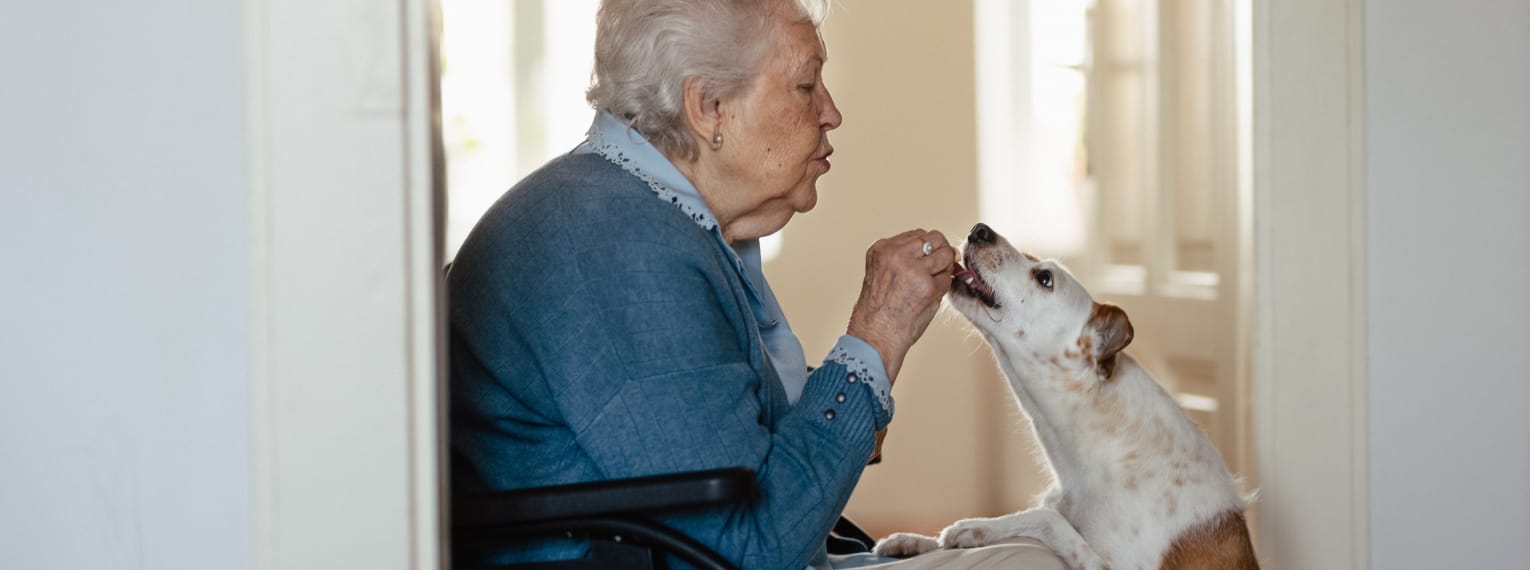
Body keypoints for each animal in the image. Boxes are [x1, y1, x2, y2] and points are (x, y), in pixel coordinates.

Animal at [881, 223, 1260, 568]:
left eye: (1045, 278)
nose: (980, 230)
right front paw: (916, 540)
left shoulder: (1108, 566)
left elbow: (1046, 519)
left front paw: (975, 527)